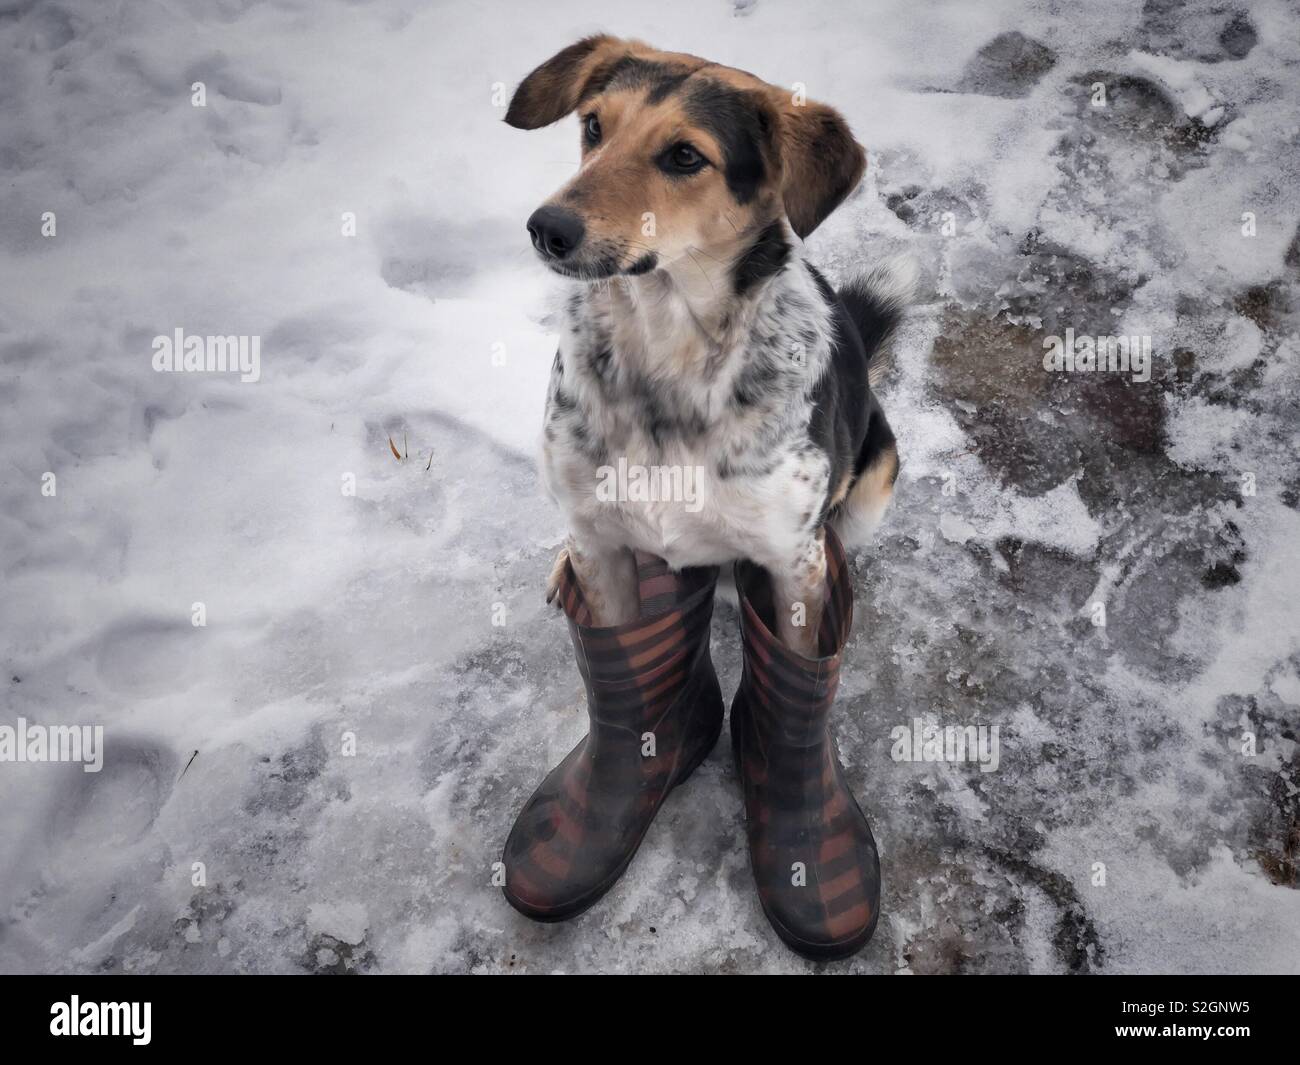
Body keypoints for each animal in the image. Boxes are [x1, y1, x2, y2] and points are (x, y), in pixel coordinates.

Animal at [501, 35, 909, 657]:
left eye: (686, 157)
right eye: (593, 125)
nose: (546, 228)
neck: (665, 346)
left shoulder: (794, 563)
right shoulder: (604, 560)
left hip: (875, 478)